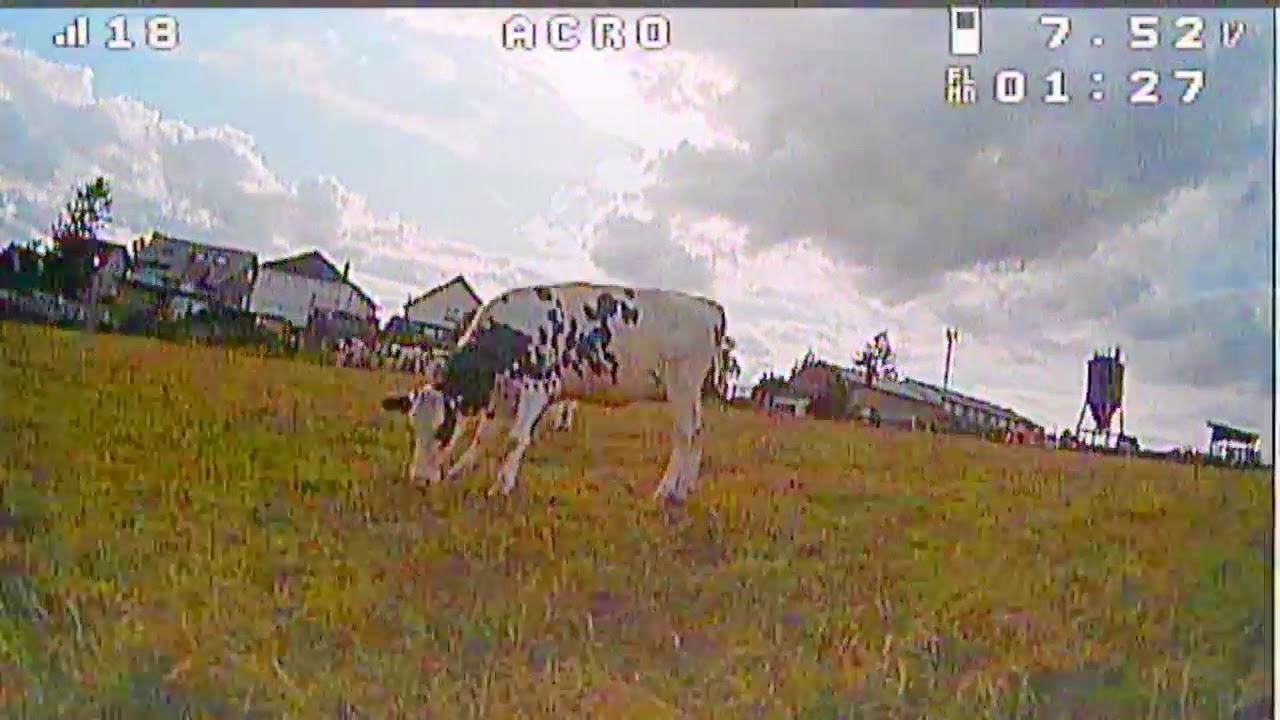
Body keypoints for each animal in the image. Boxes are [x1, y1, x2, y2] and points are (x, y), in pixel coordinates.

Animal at [380, 283, 726, 502]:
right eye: (414, 427)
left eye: (443, 429)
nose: (420, 480)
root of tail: (708, 306)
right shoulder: (503, 392)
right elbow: (483, 436)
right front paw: (456, 472)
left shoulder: (538, 386)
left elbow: (515, 438)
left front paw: (501, 487)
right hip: (690, 394)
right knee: (697, 434)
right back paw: (682, 491)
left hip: (681, 384)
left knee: (684, 436)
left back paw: (665, 491)